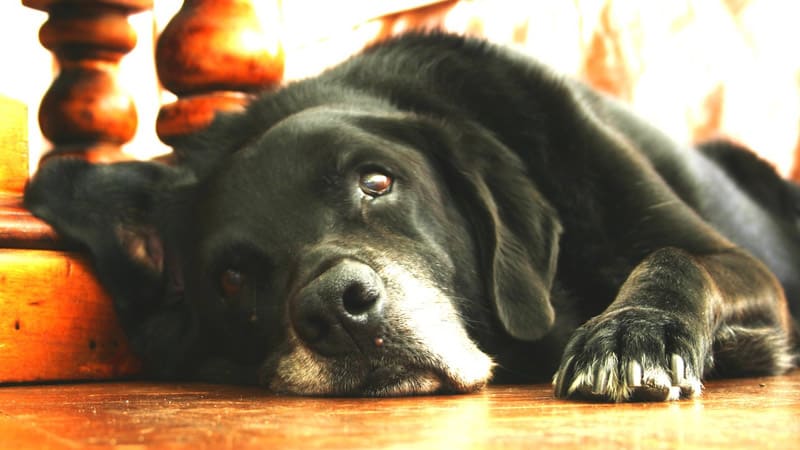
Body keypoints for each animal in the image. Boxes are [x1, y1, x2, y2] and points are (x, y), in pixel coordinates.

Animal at [26, 33, 800, 402]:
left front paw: (634, 334)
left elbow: (675, 259)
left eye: (378, 182)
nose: (336, 308)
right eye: (232, 277)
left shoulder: (734, 263)